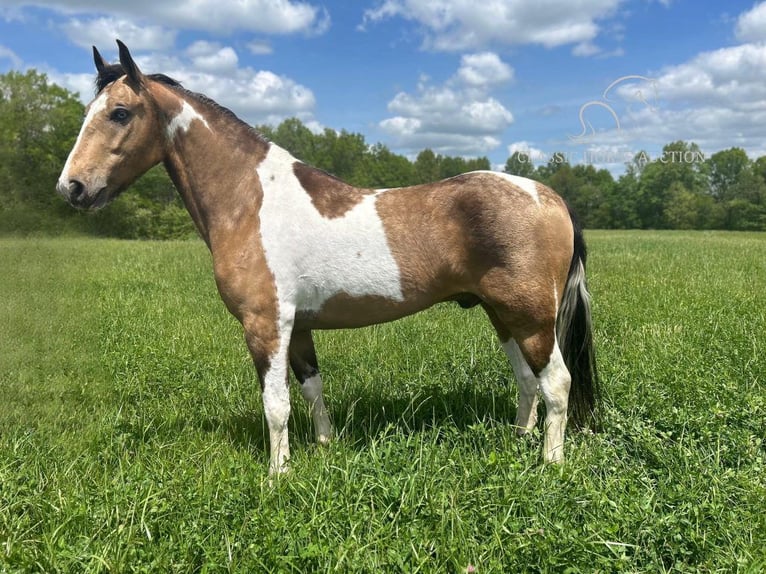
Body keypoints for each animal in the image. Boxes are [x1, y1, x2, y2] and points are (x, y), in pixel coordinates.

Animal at [58, 40, 600, 476]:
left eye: (120, 112)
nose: (72, 188)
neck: (250, 199)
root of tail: (549, 197)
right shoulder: (297, 326)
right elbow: (311, 388)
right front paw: (324, 445)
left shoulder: (266, 324)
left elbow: (275, 403)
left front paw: (277, 475)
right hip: (501, 313)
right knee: (527, 380)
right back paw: (519, 439)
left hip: (530, 316)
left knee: (556, 382)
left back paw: (550, 463)